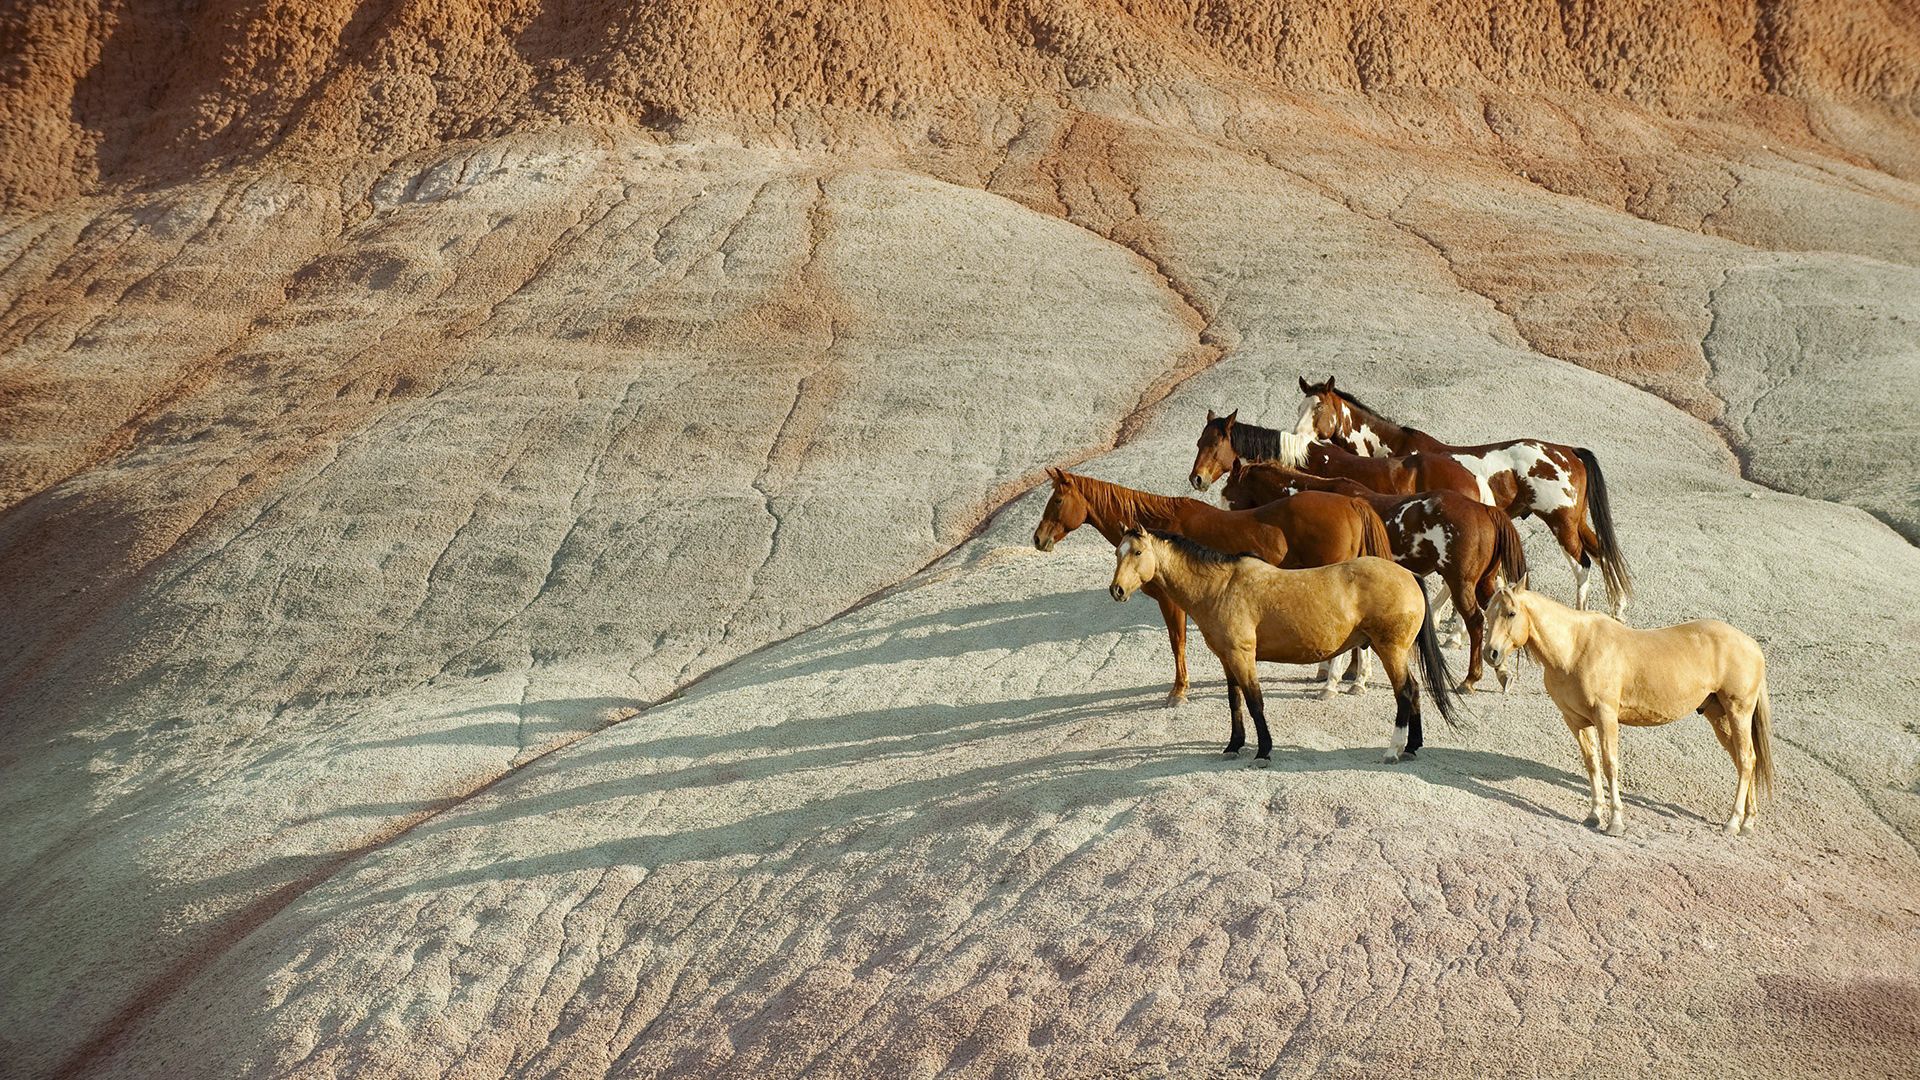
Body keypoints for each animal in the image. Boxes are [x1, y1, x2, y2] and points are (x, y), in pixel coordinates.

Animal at [1036, 466, 1397, 703]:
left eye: (1057, 501)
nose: (1038, 539)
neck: (1160, 531)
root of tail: (1351, 503)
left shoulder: (1172, 603)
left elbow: (1177, 642)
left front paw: (1179, 691)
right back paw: (1355, 680)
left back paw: (1332, 684)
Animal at [1228, 455, 1528, 687]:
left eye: (1229, 492)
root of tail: (1486, 510)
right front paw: (1351, 671)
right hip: (1483, 582)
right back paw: (1499, 669)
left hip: (1460, 582)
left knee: (1475, 621)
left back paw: (1471, 677)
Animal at [1297, 376, 1628, 614]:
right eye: (1300, 407)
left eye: (1319, 408)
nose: (1298, 436)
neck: (1396, 452)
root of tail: (1570, 451)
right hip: (1576, 522)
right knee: (1603, 554)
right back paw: (1619, 609)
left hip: (1561, 523)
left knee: (1583, 565)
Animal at [1474, 584, 1774, 837]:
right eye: (1487, 611)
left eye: (1511, 613)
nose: (1491, 653)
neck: (1575, 648)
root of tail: (1752, 646)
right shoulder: (1576, 721)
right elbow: (1592, 765)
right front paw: (1594, 815)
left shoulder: (1606, 717)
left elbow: (1610, 764)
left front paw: (1615, 822)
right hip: (1719, 716)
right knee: (1746, 760)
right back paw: (1748, 822)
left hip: (1738, 712)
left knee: (1746, 759)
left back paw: (1733, 822)